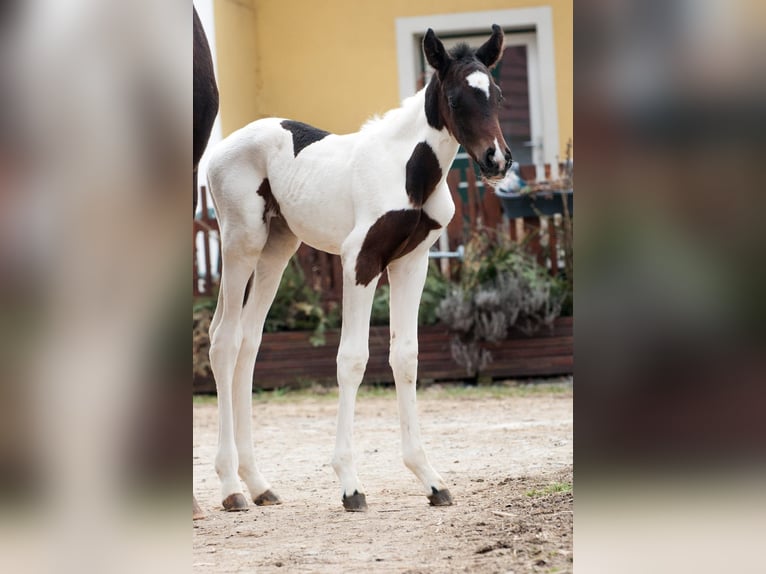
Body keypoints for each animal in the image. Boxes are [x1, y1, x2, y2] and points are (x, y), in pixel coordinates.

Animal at [206, 25, 511, 512]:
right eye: (456, 97)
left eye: (497, 94)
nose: (496, 161)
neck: (408, 170)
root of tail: (220, 150)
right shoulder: (360, 260)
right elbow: (352, 358)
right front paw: (350, 484)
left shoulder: (411, 263)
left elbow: (405, 356)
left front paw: (430, 479)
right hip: (242, 244)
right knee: (224, 340)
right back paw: (231, 489)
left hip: (277, 251)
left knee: (249, 344)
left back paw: (257, 484)